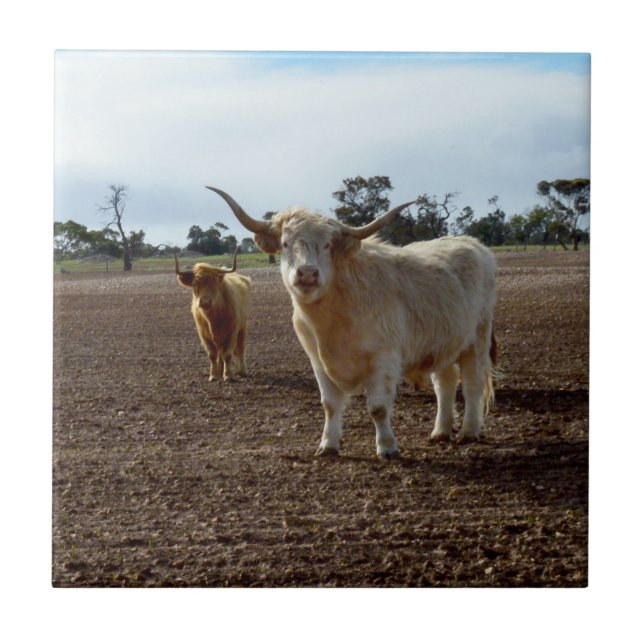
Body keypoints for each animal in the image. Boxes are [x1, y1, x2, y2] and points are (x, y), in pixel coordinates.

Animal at [175, 248, 251, 383]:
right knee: (220, 351)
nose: (205, 301)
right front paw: (214, 375)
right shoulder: (203, 334)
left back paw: (242, 371)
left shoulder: (232, 332)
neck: (213, 319)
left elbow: (228, 354)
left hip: (243, 327)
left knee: (240, 348)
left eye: (215, 283)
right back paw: (220, 369)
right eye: (195, 284)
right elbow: (212, 354)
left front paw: (228, 375)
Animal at [206, 187, 497, 459]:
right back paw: (440, 431)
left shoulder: (383, 359)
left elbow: (378, 408)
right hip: (444, 342)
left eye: (327, 245)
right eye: (286, 243)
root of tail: (474, 244)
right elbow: (330, 404)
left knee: (471, 384)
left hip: (478, 338)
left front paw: (387, 447)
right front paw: (328, 445)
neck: (334, 317)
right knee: (445, 383)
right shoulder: (318, 361)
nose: (307, 274)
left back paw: (469, 431)